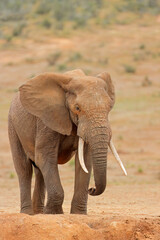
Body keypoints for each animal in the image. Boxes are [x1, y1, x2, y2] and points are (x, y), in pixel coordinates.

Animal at [8, 68, 126, 215]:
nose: (92, 189)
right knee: (24, 168)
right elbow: (45, 157)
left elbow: (84, 161)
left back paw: (38, 212)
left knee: (39, 171)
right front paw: (53, 213)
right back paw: (28, 213)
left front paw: (78, 214)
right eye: (77, 108)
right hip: (13, 125)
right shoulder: (47, 120)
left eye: (109, 107)